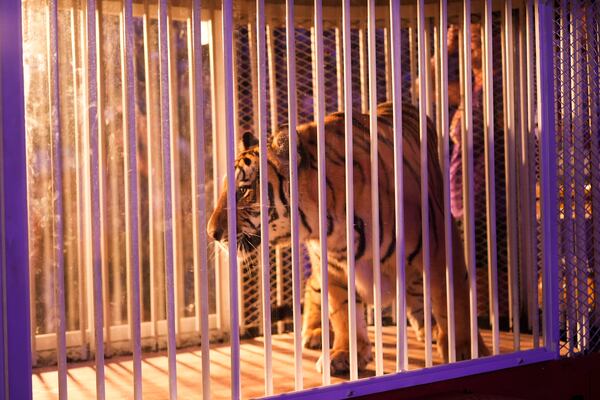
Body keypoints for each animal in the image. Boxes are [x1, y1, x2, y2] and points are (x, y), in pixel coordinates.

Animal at [206, 101, 488, 376]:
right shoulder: (332, 266)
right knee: (312, 286)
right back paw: (316, 333)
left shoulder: (440, 248)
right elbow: (343, 312)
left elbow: (452, 300)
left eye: (243, 190)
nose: (211, 233)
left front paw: (465, 350)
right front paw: (346, 355)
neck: (326, 220)